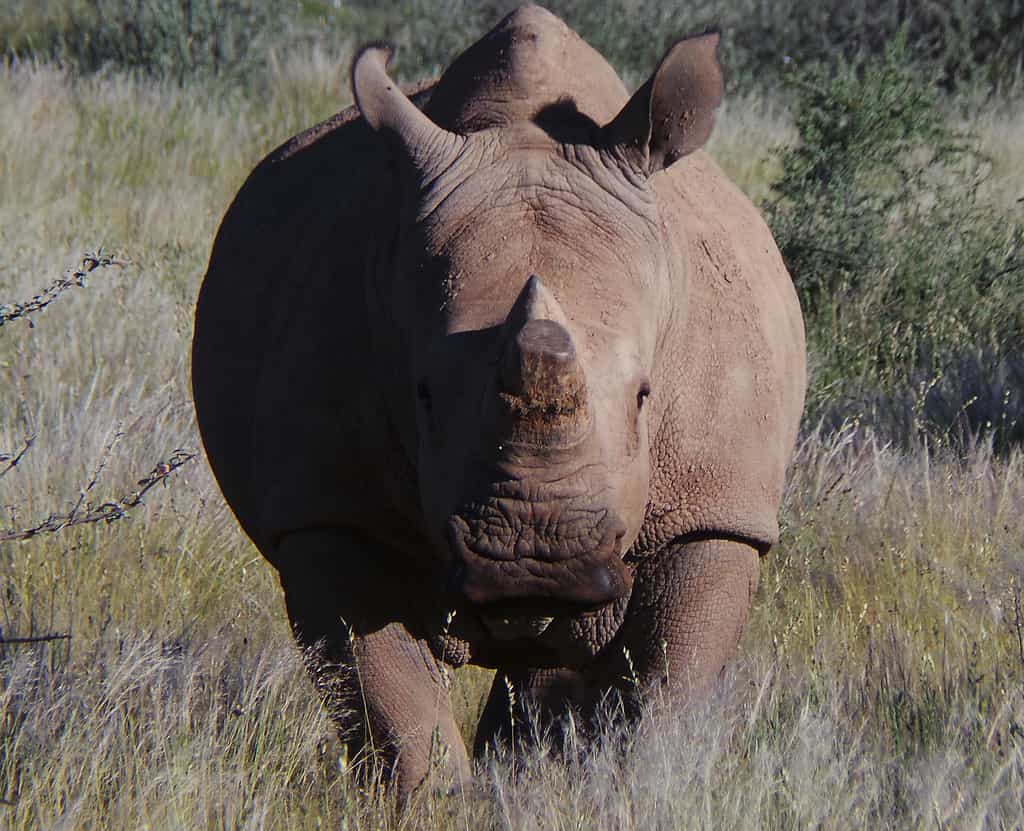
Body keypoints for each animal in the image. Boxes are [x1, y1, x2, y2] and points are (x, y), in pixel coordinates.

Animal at [192, 4, 805, 796]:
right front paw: (438, 800)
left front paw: (635, 790)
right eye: (422, 395)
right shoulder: (329, 510)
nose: (535, 559)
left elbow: (667, 688)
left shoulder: (717, 506)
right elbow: (391, 710)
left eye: (645, 396)